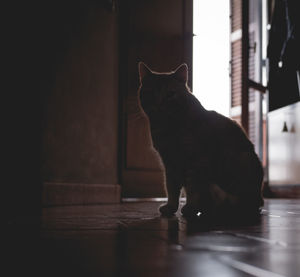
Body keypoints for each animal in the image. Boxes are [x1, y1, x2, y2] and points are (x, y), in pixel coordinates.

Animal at [137, 62, 264, 218]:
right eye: (151, 93)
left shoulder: (196, 161)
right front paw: (170, 208)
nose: (159, 105)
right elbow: (171, 188)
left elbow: (193, 188)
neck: (168, 128)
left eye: (170, 94)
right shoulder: (169, 163)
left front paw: (190, 207)